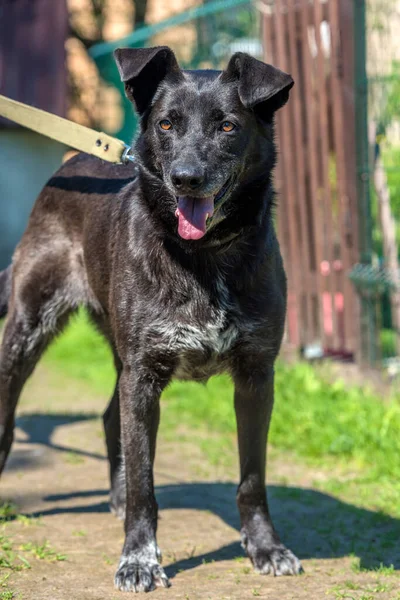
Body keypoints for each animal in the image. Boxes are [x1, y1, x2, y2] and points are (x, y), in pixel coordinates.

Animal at [0, 47, 300, 592]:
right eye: (166, 124)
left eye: (227, 126)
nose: (185, 177)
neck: (201, 257)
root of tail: (72, 165)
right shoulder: (144, 377)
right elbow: (145, 480)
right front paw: (139, 557)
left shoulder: (255, 378)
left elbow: (252, 477)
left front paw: (265, 547)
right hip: (27, 331)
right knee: (11, 420)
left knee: (108, 418)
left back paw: (116, 501)